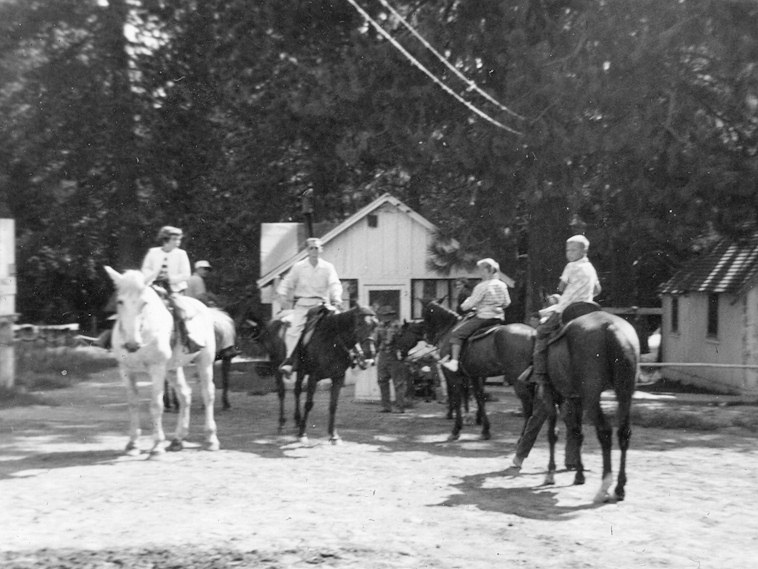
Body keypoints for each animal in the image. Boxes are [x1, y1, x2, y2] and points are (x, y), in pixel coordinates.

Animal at [107, 264, 226, 454]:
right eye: (120, 301)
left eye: (144, 303)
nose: (132, 345)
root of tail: (205, 307)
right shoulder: (126, 370)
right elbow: (133, 404)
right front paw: (132, 443)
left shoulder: (157, 368)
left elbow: (156, 405)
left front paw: (156, 446)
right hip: (172, 368)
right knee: (185, 394)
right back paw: (177, 439)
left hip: (205, 360)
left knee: (208, 393)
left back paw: (211, 439)